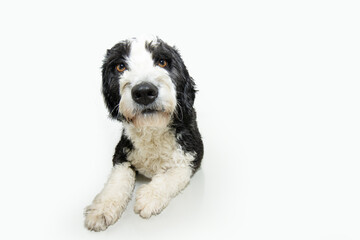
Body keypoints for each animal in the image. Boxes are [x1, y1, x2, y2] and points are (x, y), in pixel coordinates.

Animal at [83, 36, 202, 232]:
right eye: (120, 66)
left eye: (162, 62)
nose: (144, 91)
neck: (152, 128)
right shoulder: (122, 151)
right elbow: (118, 178)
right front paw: (102, 208)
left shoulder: (191, 154)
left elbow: (172, 174)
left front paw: (150, 197)